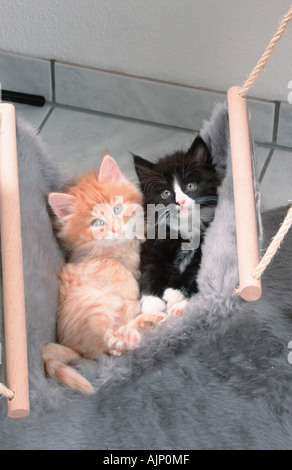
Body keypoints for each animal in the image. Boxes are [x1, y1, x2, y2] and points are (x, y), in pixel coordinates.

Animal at [133, 135, 221, 316]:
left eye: (190, 186)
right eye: (166, 193)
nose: (180, 202)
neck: (186, 227)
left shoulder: (204, 247)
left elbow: (194, 270)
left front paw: (174, 292)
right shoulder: (154, 242)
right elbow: (151, 267)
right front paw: (151, 301)